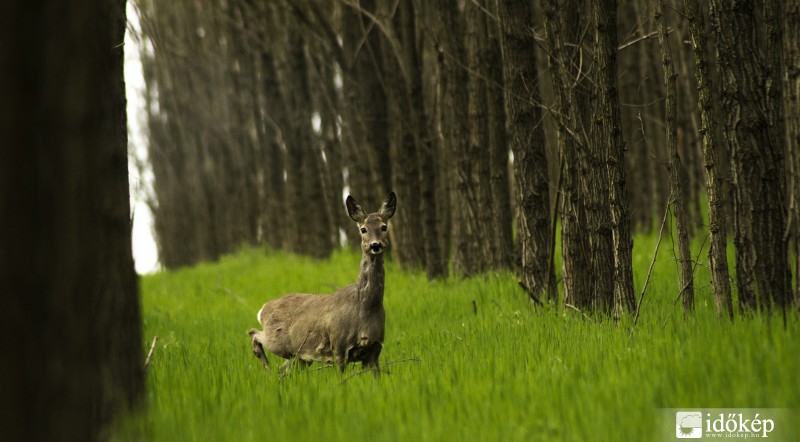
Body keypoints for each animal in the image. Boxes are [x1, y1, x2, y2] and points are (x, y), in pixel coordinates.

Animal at [248, 192, 396, 374]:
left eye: (384, 227)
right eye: (363, 229)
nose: (375, 245)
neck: (365, 307)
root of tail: (263, 309)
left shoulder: (375, 350)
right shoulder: (339, 346)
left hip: (299, 357)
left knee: (282, 371)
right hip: (276, 339)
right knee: (254, 333)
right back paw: (266, 367)